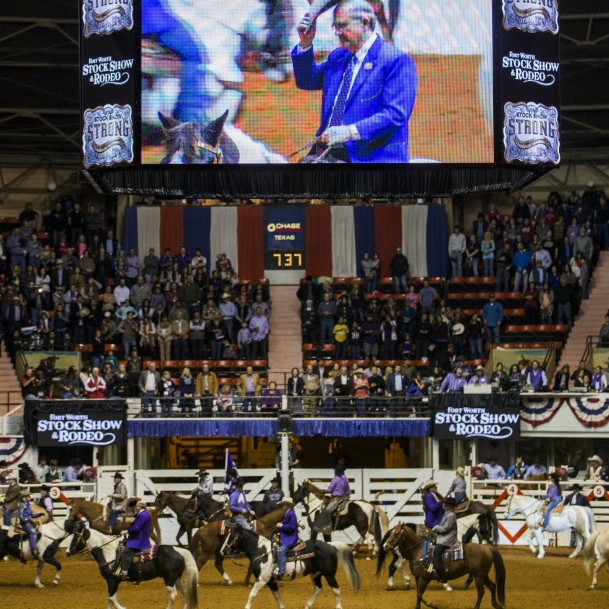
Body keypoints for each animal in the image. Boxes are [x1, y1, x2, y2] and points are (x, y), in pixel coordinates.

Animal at [67, 516, 198, 608]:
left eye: (75, 537)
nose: (68, 552)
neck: (107, 553)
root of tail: (178, 550)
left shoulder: (112, 580)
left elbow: (112, 599)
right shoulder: (111, 582)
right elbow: (109, 600)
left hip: (169, 579)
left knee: (173, 595)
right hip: (176, 579)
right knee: (185, 592)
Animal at [221, 524, 358, 608]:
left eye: (231, 536)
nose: (222, 551)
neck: (262, 552)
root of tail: (330, 545)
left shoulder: (262, 579)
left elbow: (252, 594)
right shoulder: (271, 580)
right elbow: (276, 596)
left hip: (329, 574)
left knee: (336, 589)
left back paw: (338, 606)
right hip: (315, 574)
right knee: (318, 589)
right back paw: (307, 606)